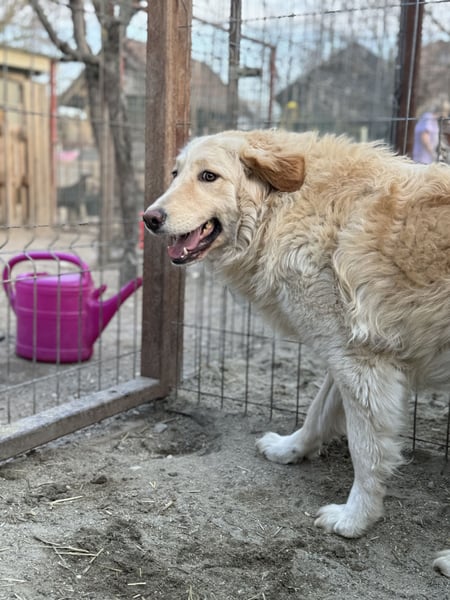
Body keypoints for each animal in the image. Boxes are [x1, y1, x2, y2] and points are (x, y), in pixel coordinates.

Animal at [143, 129, 450, 576]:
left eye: (208, 176)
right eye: (175, 173)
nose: (149, 218)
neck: (284, 207)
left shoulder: (362, 364)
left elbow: (366, 453)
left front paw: (354, 520)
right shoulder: (341, 352)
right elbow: (316, 413)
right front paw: (290, 450)